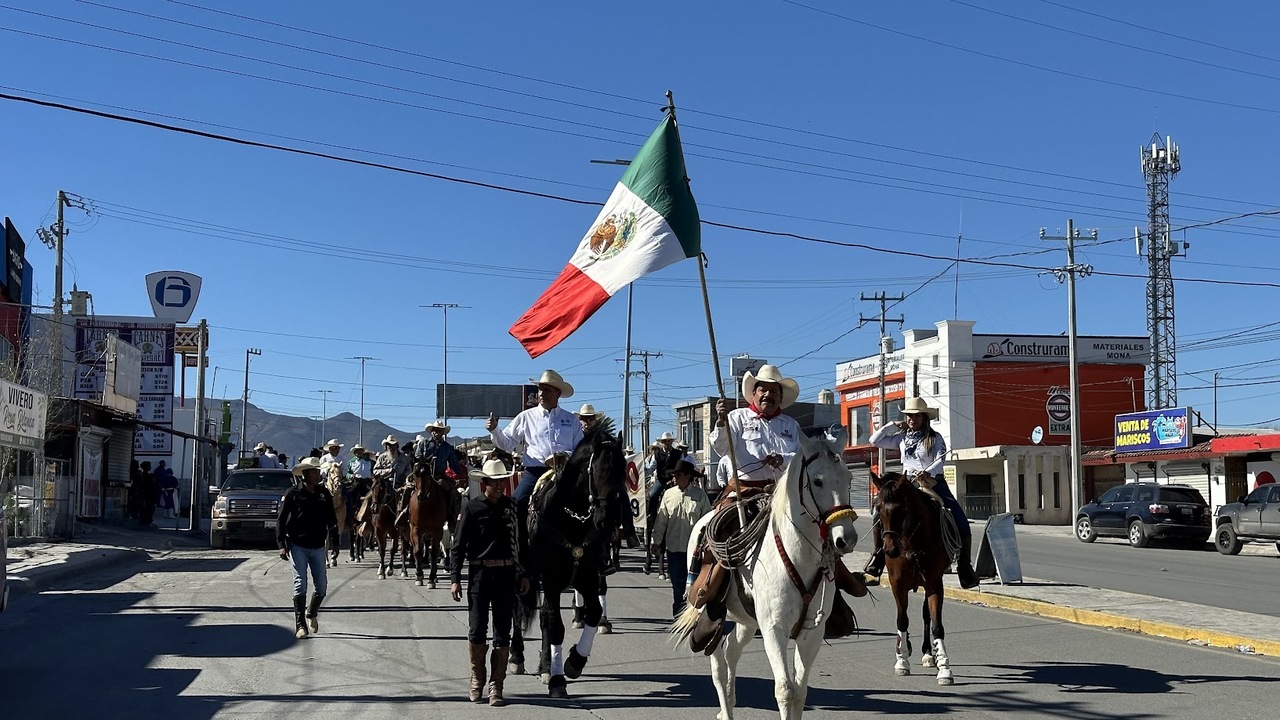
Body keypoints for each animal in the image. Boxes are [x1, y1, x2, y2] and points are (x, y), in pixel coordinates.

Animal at [527, 430, 626, 698]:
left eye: (624, 473)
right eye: (600, 472)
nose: (609, 519)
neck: (571, 520)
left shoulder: (588, 577)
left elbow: (593, 613)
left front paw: (574, 662)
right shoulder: (551, 581)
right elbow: (556, 626)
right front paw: (557, 680)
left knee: (545, 618)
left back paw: (546, 666)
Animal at [674, 428, 858, 720]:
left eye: (849, 479)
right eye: (817, 481)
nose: (846, 539)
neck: (797, 558)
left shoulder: (812, 632)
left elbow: (800, 692)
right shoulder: (774, 628)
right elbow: (785, 690)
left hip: (747, 622)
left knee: (730, 651)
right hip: (712, 614)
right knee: (716, 659)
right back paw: (726, 711)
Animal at [870, 471, 955, 685]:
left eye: (902, 509)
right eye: (878, 508)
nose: (890, 549)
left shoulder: (934, 584)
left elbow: (936, 625)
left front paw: (944, 668)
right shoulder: (897, 585)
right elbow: (902, 620)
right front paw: (902, 661)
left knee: (925, 616)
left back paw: (928, 654)